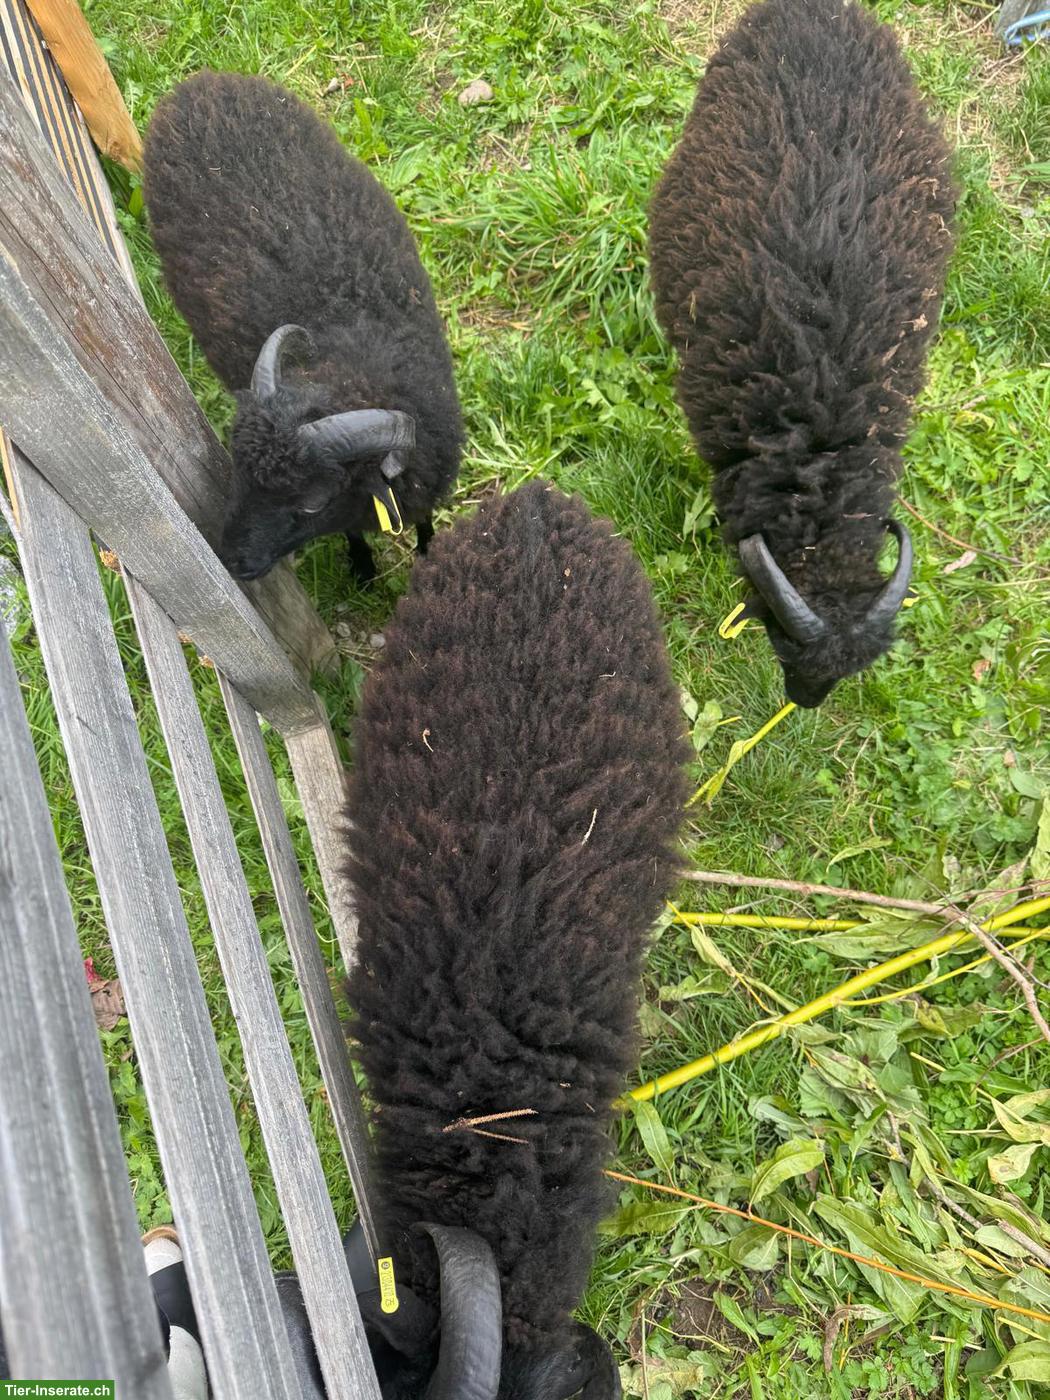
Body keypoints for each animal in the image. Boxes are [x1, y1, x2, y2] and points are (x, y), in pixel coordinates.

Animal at [143, 71, 462, 584]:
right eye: (239, 475)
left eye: (312, 503)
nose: (233, 562)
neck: (350, 362)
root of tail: (200, 82)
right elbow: (353, 533)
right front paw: (362, 567)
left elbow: (425, 520)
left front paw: (429, 551)